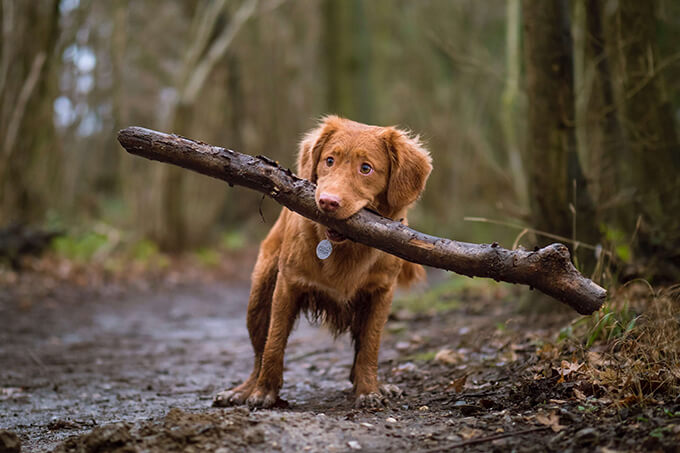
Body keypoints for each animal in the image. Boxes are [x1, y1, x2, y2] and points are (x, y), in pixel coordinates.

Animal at [215, 115, 432, 408]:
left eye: (366, 168)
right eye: (329, 160)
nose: (328, 202)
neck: (345, 248)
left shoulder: (381, 293)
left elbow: (370, 346)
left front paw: (369, 390)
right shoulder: (287, 285)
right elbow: (274, 343)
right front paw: (264, 392)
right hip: (259, 298)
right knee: (259, 352)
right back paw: (243, 390)